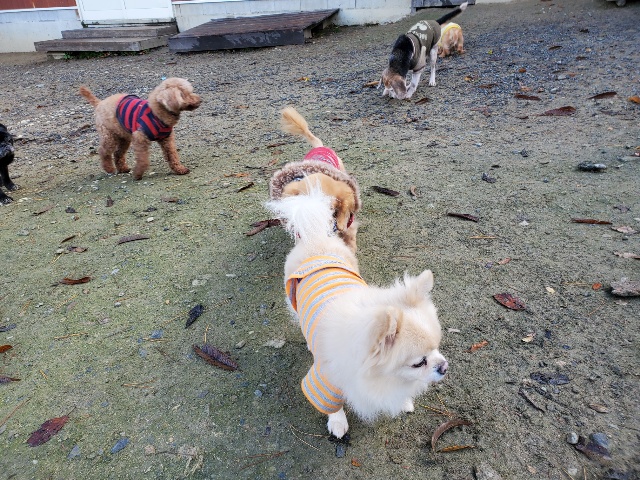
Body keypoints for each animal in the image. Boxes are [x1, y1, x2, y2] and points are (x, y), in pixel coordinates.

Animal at [267, 187, 448, 438]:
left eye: (437, 348)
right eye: (419, 362)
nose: (444, 367)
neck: (379, 378)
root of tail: (316, 237)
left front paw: (403, 402)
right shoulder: (325, 380)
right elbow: (332, 405)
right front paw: (337, 422)